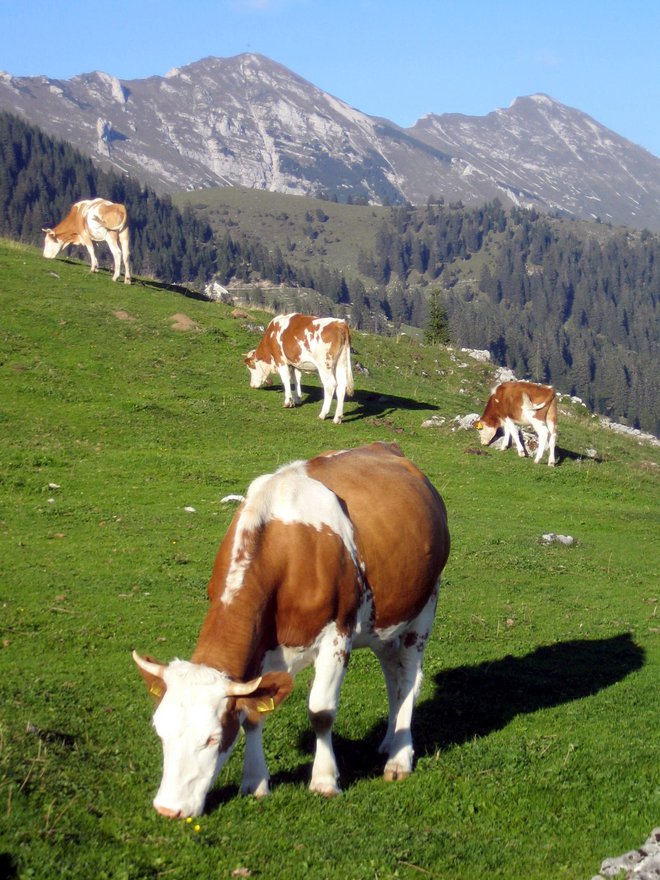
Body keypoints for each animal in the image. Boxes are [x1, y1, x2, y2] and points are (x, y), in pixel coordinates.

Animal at [135, 444, 452, 820]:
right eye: (160, 731)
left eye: (212, 738)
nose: (168, 809)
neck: (284, 550)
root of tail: (387, 447)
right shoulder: (259, 651)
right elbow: (251, 714)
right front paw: (254, 782)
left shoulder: (338, 634)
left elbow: (321, 712)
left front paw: (325, 781)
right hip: (385, 621)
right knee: (395, 677)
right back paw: (389, 741)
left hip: (425, 606)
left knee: (408, 679)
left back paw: (399, 759)